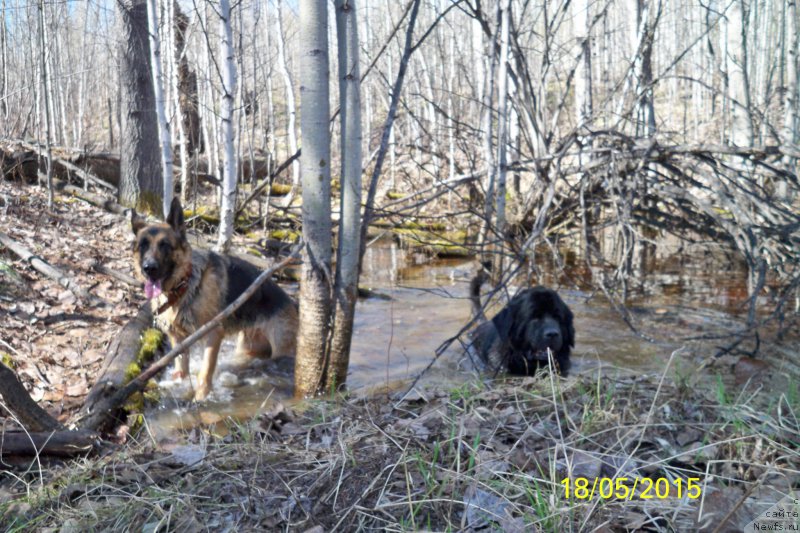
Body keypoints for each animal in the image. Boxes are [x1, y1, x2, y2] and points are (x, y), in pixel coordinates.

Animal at [133, 197, 298, 396]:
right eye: (143, 245)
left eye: (164, 245)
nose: (149, 268)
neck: (184, 285)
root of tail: (292, 303)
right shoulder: (178, 337)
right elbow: (182, 368)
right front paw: (179, 385)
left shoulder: (213, 333)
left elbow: (205, 371)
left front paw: (201, 397)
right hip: (247, 349)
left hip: (283, 351)